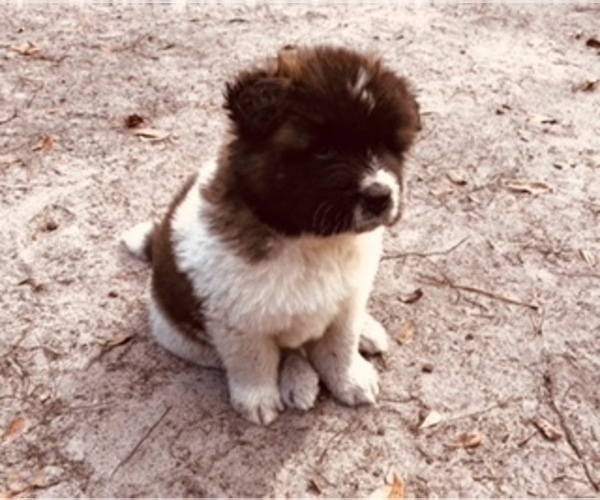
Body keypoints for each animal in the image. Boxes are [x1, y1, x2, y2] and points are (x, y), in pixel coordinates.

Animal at [122, 45, 422, 424]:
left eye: (388, 146)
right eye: (324, 150)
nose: (380, 196)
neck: (310, 241)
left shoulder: (350, 296)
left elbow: (340, 342)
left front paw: (349, 377)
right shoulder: (237, 321)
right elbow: (255, 361)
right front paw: (258, 398)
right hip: (181, 337)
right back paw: (298, 378)